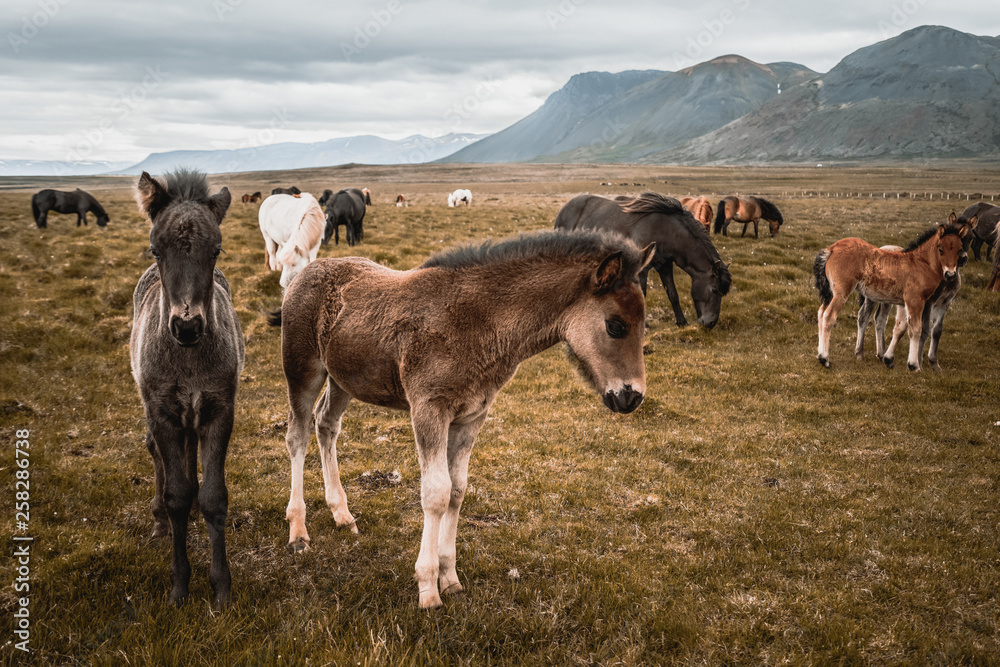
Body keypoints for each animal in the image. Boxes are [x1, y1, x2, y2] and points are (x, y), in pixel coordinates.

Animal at [131, 168, 244, 612]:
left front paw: (221, 589)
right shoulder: (162, 412)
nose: (187, 326)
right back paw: (159, 520)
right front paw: (180, 587)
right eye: (155, 250)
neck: (189, 360)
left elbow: (213, 497)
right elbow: (177, 493)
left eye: (216, 250)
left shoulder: (218, 410)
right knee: (157, 455)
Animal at [266, 231, 656, 612]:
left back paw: (342, 513)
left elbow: (456, 490)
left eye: (643, 324)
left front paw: (450, 578)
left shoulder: (471, 417)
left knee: (326, 424)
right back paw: (298, 530)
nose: (632, 397)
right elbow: (435, 493)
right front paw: (427, 589)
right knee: (297, 435)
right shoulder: (429, 409)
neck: (479, 322)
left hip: (344, 378)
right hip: (303, 371)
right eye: (615, 326)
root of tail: (303, 273)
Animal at [552, 192, 732, 328]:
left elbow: (673, 294)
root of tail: (564, 209)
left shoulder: (665, 266)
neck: (665, 231)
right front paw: (645, 325)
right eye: (714, 290)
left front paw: (681, 321)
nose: (711, 323)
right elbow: (643, 295)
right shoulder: (642, 270)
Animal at [812, 223, 968, 370]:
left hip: (831, 292)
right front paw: (914, 365)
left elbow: (901, 326)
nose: (950, 274)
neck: (921, 263)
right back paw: (825, 359)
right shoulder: (916, 300)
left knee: (821, 312)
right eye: (940, 249)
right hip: (841, 292)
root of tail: (832, 248)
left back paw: (821, 354)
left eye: (959, 249)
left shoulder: (905, 303)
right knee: (829, 316)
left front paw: (888, 358)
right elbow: (916, 330)